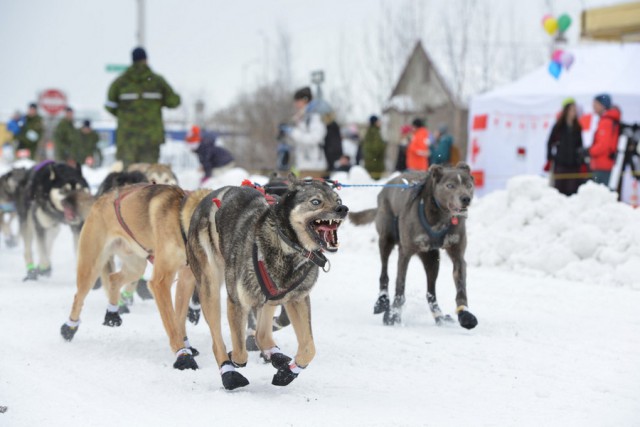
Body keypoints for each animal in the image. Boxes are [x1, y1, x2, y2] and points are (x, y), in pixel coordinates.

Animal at [60, 184, 210, 372]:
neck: (183, 222)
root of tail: (101, 197)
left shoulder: (186, 280)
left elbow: (179, 319)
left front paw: (187, 346)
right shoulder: (160, 283)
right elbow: (172, 323)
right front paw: (183, 356)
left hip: (136, 266)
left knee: (114, 278)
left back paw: (112, 314)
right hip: (91, 267)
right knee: (79, 296)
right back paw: (69, 328)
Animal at [186, 177, 350, 392]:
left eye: (338, 200)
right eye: (316, 202)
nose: (343, 209)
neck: (287, 246)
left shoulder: (297, 299)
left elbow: (309, 348)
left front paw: (287, 373)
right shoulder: (238, 302)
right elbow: (240, 352)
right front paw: (234, 360)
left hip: (269, 299)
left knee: (262, 335)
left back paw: (277, 357)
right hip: (210, 288)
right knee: (218, 341)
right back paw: (229, 372)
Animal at [348, 164, 478, 332]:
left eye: (469, 185)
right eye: (450, 185)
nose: (466, 199)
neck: (440, 217)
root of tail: (387, 185)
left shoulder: (458, 256)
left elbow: (461, 287)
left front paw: (465, 315)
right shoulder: (405, 252)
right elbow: (400, 285)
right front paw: (393, 315)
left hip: (431, 259)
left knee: (431, 292)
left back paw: (439, 317)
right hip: (386, 239)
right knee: (384, 272)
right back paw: (382, 301)